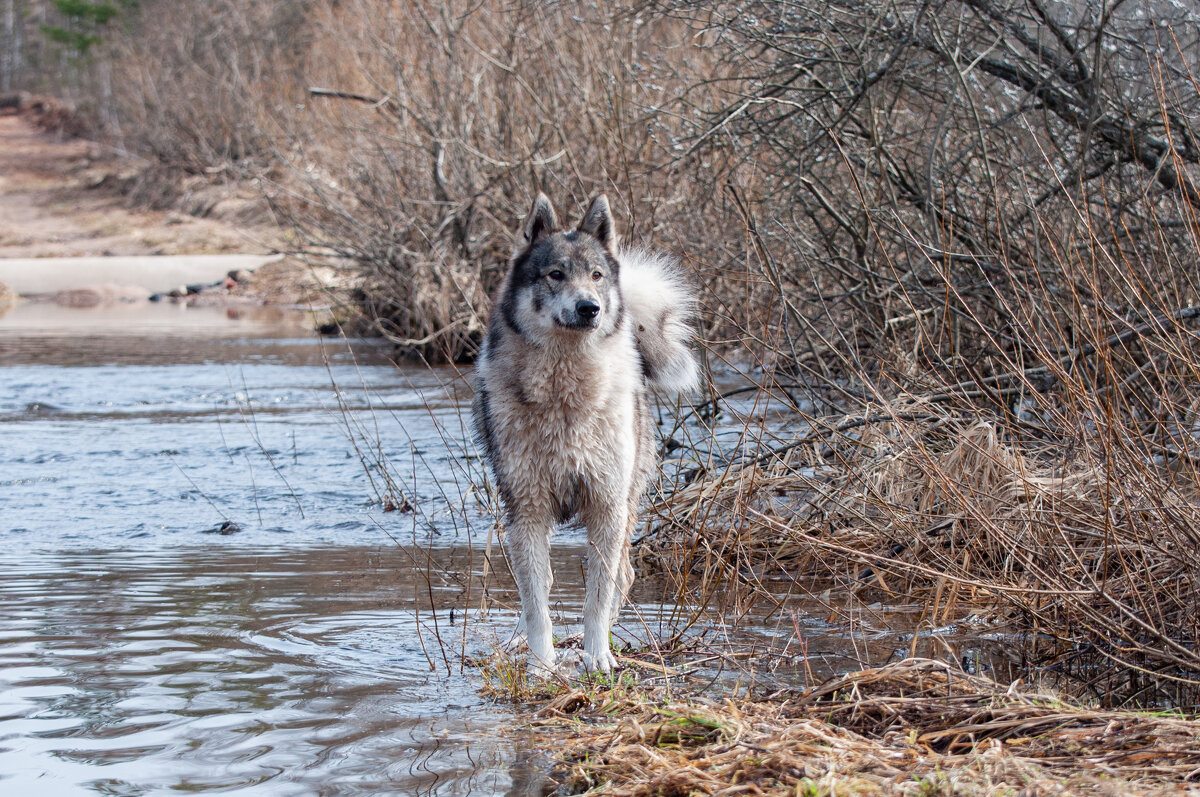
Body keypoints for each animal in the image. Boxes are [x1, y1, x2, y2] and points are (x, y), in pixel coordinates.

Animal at [472, 193, 700, 672]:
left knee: (623, 575)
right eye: (556, 274)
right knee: (537, 588)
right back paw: (519, 642)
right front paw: (541, 665)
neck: (565, 395)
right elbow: (536, 601)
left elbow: (598, 594)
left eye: (596, 276)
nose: (589, 307)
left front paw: (598, 656)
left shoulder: (606, 507)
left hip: (627, 503)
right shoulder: (527, 511)